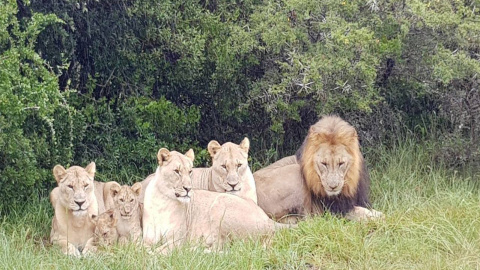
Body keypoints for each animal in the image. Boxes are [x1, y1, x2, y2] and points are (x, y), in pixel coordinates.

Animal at [142, 148, 292, 251]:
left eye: (190, 172)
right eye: (177, 171)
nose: (188, 188)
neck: (162, 201)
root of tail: (268, 219)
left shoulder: (178, 239)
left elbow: (158, 252)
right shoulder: (147, 239)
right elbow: (141, 250)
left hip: (220, 205)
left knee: (227, 247)